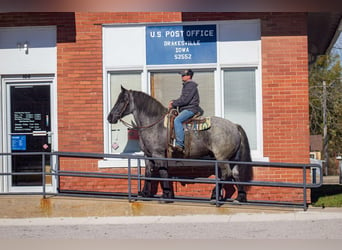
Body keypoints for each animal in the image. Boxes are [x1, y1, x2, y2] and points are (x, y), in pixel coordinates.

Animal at [107, 86, 254, 203]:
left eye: (122, 100)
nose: (110, 117)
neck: (154, 124)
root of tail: (234, 126)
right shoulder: (148, 155)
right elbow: (148, 173)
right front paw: (145, 193)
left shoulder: (158, 154)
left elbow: (163, 172)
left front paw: (166, 196)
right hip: (232, 158)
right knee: (235, 174)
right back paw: (239, 198)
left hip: (222, 158)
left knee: (226, 174)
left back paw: (214, 196)